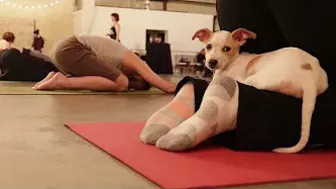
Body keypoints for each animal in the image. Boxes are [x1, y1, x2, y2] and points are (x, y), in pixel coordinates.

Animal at [192, 28, 328, 153]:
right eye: (208, 46)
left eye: (226, 49)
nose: (212, 62)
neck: (232, 61)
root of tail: (309, 77)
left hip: (256, 79)